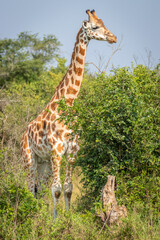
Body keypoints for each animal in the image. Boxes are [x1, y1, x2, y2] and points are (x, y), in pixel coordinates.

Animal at [20, 9, 117, 219]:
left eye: (104, 23)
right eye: (95, 26)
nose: (113, 37)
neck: (70, 101)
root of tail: (22, 134)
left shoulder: (73, 149)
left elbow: (68, 188)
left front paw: (66, 217)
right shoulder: (57, 150)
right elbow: (56, 189)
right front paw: (56, 221)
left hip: (44, 162)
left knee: (39, 188)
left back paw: (39, 215)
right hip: (28, 159)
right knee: (29, 187)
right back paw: (30, 216)